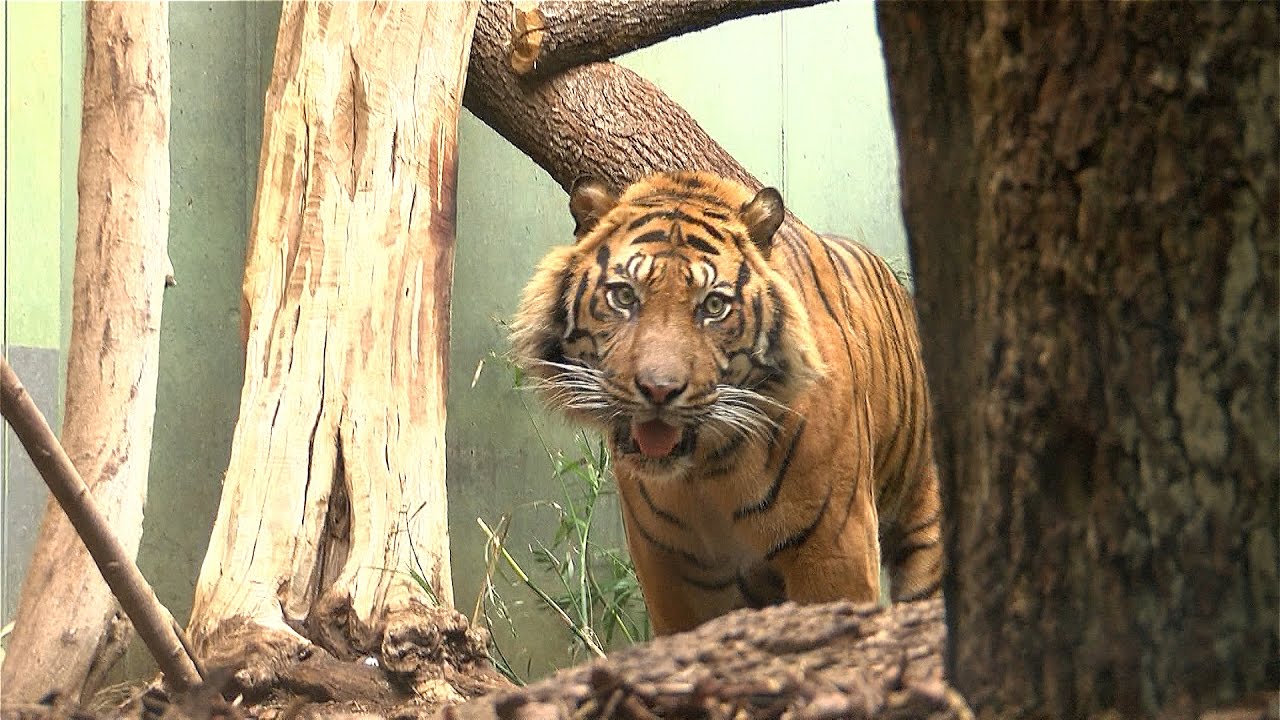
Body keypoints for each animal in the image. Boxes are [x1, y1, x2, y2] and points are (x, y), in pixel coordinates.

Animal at [510, 170, 941, 635]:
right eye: (624, 297)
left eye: (714, 305)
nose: (659, 390)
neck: (707, 470)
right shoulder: (670, 570)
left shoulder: (834, 549)